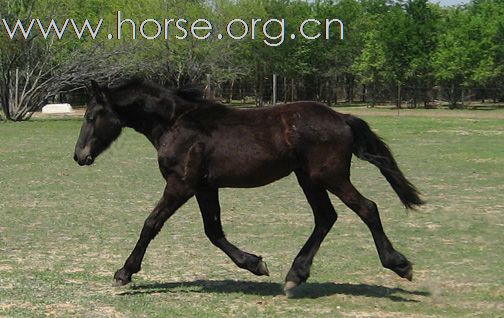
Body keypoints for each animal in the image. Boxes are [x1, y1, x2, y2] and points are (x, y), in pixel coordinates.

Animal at [74, 79, 422, 296]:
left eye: (92, 115)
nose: (79, 156)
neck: (177, 123)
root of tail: (342, 117)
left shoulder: (181, 184)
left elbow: (151, 223)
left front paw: (124, 273)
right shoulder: (204, 187)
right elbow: (213, 231)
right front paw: (255, 264)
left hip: (330, 177)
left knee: (367, 208)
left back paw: (399, 264)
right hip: (308, 178)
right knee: (326, 217)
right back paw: (295, 276)